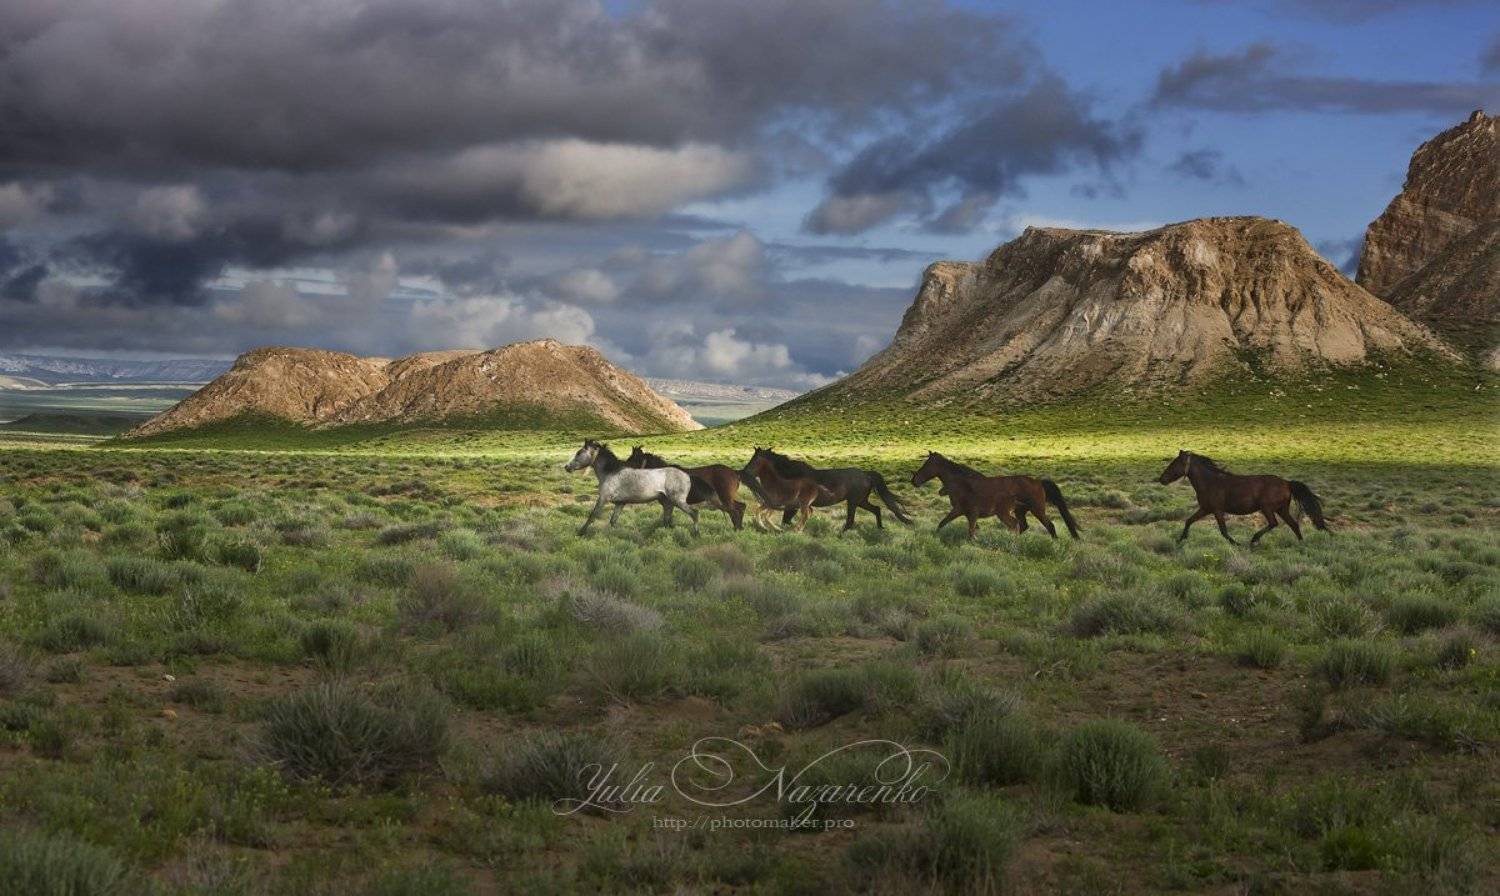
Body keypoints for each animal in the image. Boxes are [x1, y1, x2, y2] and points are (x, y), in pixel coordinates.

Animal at [564, 440, 698, 536]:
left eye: (579, 453)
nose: (567, 467)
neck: (610, 472)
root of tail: (687, 475)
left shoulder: (603, 498)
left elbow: (593, 516)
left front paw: (580, 533)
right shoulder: (620, 503)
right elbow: (613, 521)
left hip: (678, 501)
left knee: (694, 513)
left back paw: (696, 534)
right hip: (667, 502)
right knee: (668, 519)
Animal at [752, 448, 912, 531]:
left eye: (754, 459)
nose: (747, 470)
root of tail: (866, 474)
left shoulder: (793, 505)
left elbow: (786, 520)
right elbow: (786, 520)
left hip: (853, 501)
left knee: (850, 520)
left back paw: (840, 534)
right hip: (861, 501)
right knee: (876, 509)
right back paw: (880, 528)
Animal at [910, 452, 1081, 540]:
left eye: (926, 465)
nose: (914, 481)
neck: (962, 483)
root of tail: (1038, 482)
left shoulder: (959, 510)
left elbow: (945, 523)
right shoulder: (967, 513)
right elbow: (949, 525)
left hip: (1037, 510)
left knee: (1049, 526)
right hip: (1020, 511)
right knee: (1023, 526)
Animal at [1157, 450, 1330, 544]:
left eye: (1174, 464)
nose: (1161, 479)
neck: (1210, 481)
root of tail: (1287, 483)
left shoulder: (1217, 510)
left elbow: (1223, 531)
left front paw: (1237, 544)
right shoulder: (1205, 509)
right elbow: (1189, 521)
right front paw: (1180, 540)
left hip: (1267, 508)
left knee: (1274, 523)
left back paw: (1253, 540)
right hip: (1282, 509)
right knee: (1293, 525)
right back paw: (1301, 544)